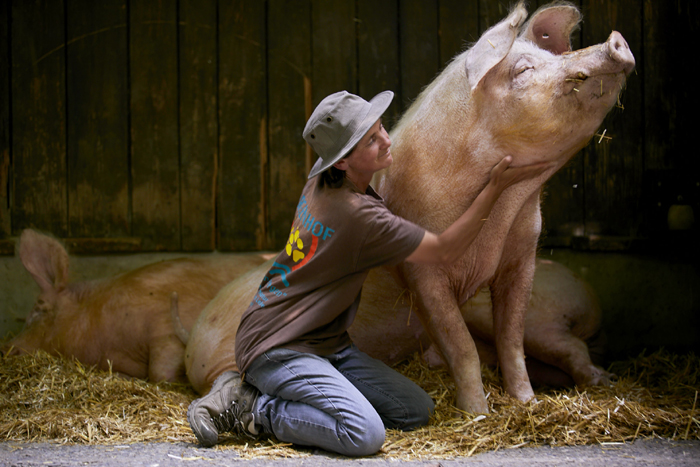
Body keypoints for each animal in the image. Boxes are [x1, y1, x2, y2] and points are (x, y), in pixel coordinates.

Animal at [183, 2, 632, 414]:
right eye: (522, 70)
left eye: (554, 58)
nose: (616, 40)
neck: (504, 217)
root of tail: (191, 352)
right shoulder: (422, 272)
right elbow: (461, 347)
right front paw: (478, 415)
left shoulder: (522, 256)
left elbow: (511, 341)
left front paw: (527, 404)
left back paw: (604, 382)